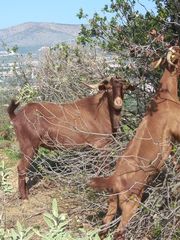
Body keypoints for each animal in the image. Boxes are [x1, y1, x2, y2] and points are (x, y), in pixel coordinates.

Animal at [89, 46, 180, 239]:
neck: (166, 96)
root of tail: (114, 180)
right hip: (130, 203)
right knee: (119, 232)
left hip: (112, 202)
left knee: (104, 225)